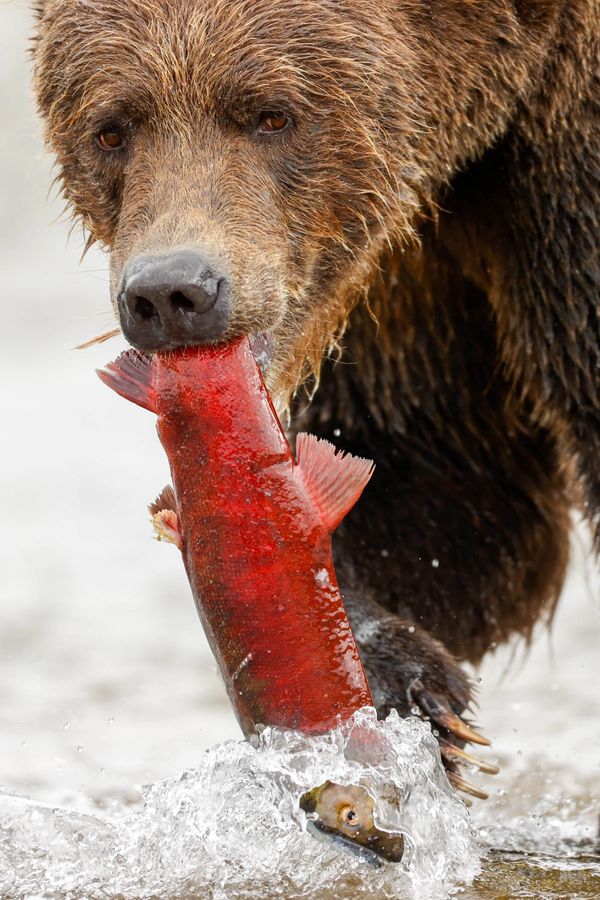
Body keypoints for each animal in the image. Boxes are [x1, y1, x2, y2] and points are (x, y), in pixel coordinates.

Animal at [32, 0, 599, 790]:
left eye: (272, 114)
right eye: (111, 128)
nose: (170, 294)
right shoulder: (392, 288)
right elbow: (429, 484)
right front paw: (405, 687)